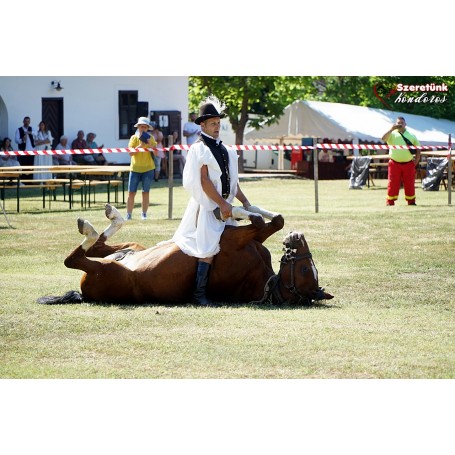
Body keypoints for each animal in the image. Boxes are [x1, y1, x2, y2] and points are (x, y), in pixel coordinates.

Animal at [37, 204, 334, 306]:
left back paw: (89, 227)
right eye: (308, 268)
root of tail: (83, 294)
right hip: (133, 248)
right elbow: (273, 221)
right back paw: (113, 216)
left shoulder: (232, 239)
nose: (299, 238)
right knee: (102, 244)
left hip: (107, 270)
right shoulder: (250, 239)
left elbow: (261, 221)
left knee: (75, 258)